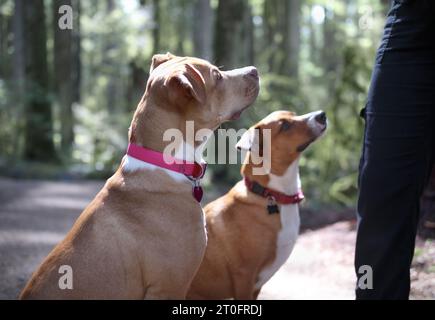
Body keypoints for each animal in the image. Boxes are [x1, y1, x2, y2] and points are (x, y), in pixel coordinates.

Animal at [187, 110, 328, 300]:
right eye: (285, 125)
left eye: (294, 114)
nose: (322, 115)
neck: (271, 195)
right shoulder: (244, 277)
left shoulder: (256, 287)